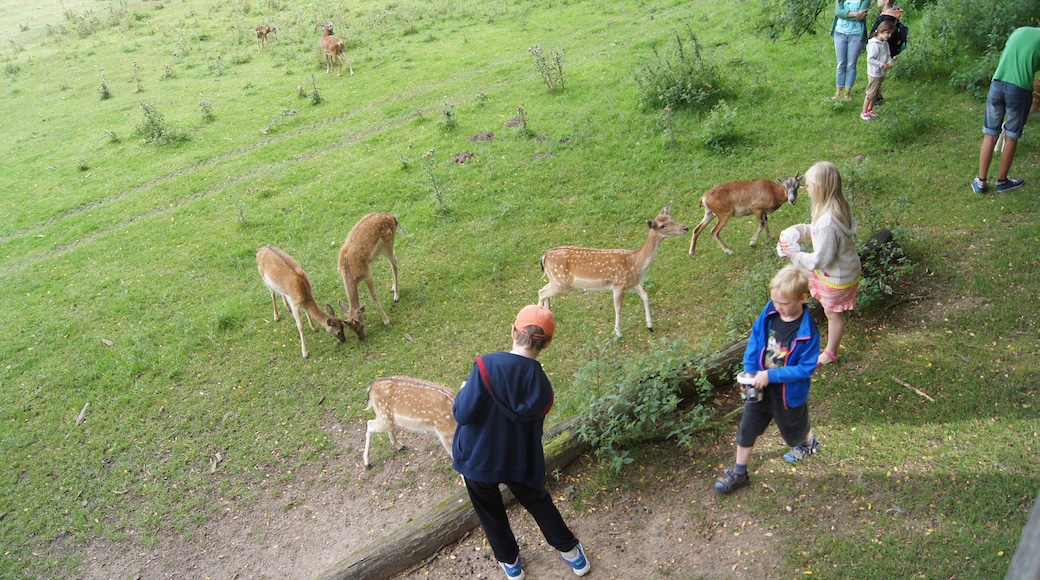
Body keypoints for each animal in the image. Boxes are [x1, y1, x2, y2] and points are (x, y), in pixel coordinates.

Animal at [538, 203, 689, 338]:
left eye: (671, 217)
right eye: (663, 226)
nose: (686, 228)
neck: (635, 263)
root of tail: (545, 256)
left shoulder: (633, 283)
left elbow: (645, 295)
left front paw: (650, 326)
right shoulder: (618, 284)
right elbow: (618, 308)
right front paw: (618, 332)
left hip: (555, 280)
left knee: (543, 290)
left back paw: (548, 316)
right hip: (561, 282)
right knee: (542, 292)